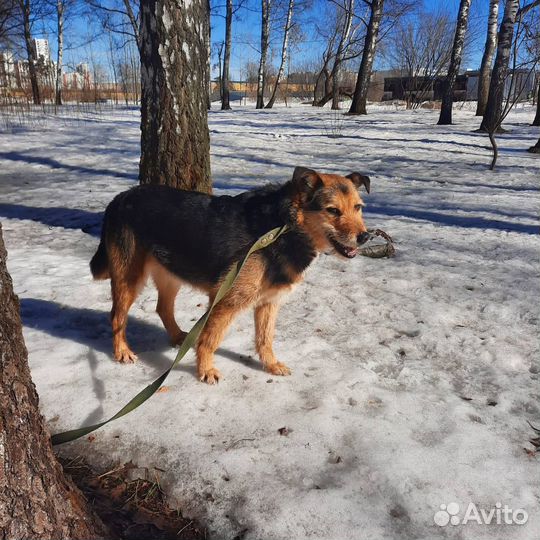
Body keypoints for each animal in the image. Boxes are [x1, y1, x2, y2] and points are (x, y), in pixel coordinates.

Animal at [90, 167, 374, 382]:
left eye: (358, 207)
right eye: (332, 210)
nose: (365, 237)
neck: (283, 226)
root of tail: (120, 198)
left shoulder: (269, 303)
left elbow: (265, 339)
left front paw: (271, 365)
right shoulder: (227, 301)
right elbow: (210, 340)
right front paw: (205, 370)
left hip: (171, 273)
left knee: (163, 308)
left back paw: (178, 337)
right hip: (129, 278)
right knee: (117, 316)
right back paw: (122, 352)